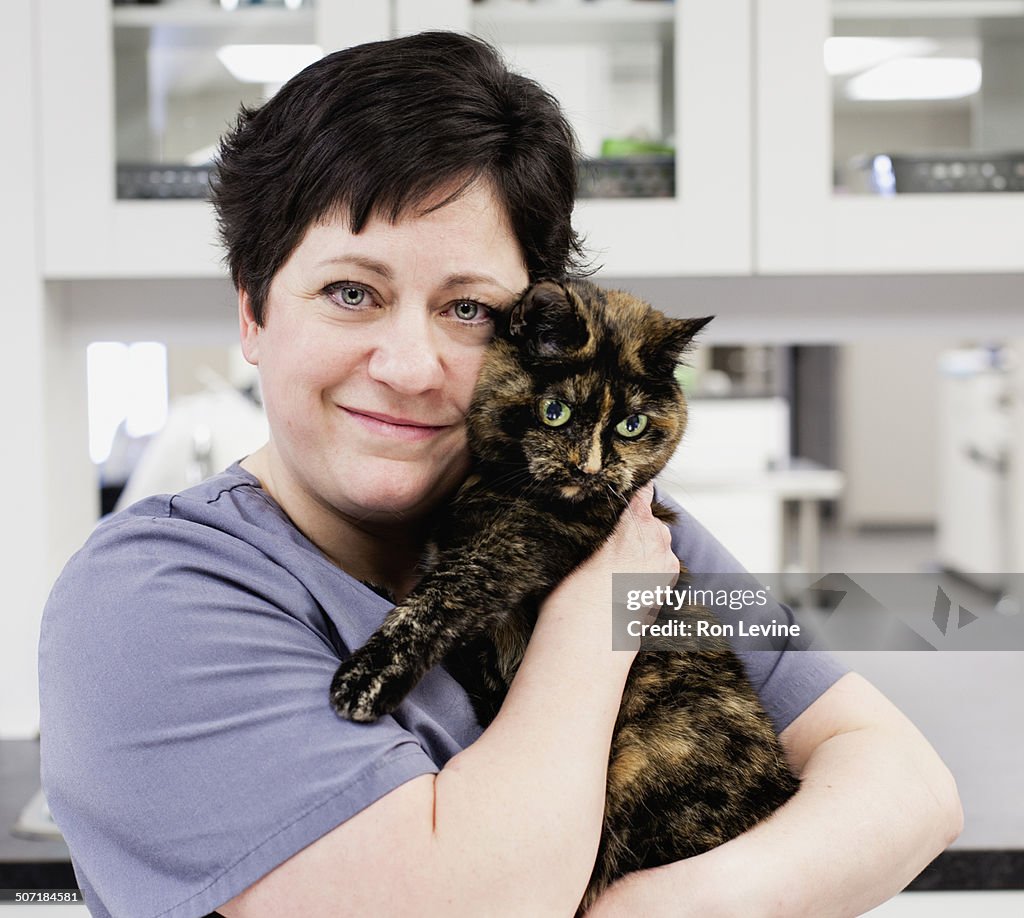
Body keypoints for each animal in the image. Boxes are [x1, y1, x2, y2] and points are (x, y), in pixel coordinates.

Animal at [331, 278, 794, 909]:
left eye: (632, 425)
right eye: (556, 411)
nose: (590, 469)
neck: (488, 486)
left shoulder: (517, 549)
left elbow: (440, 599)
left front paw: (368, 678)